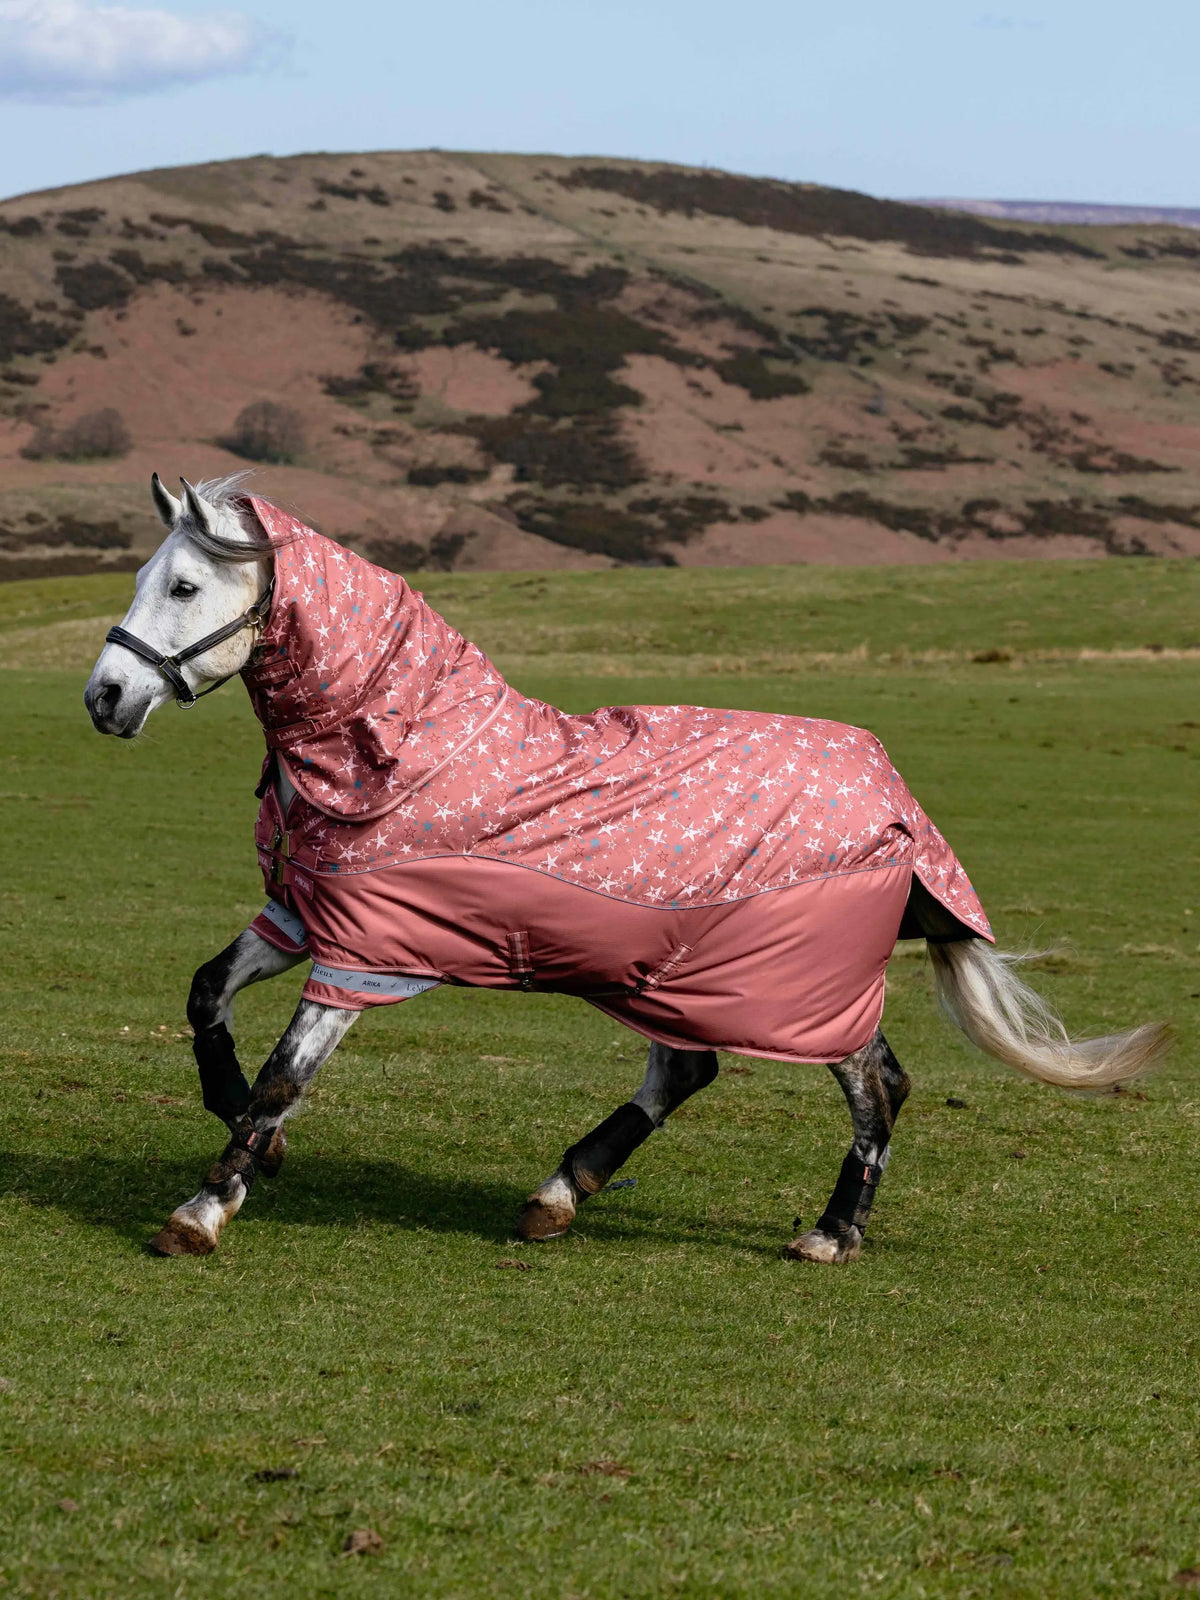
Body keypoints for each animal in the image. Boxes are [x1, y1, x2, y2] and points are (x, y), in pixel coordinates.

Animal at [84, 474, 1168, 1263]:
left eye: (184, 586)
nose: (104, 696)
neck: (405, 748)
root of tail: (894, 793)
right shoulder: (308, 919)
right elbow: (208, 996)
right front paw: (252, 1142)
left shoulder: (368, 956)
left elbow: (282, 1075)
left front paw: (205, 1207)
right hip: (690, 976)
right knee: (692, 1068)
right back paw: (560, 1195)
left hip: (802, 986)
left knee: (877, 1086)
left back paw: (828, 1233)